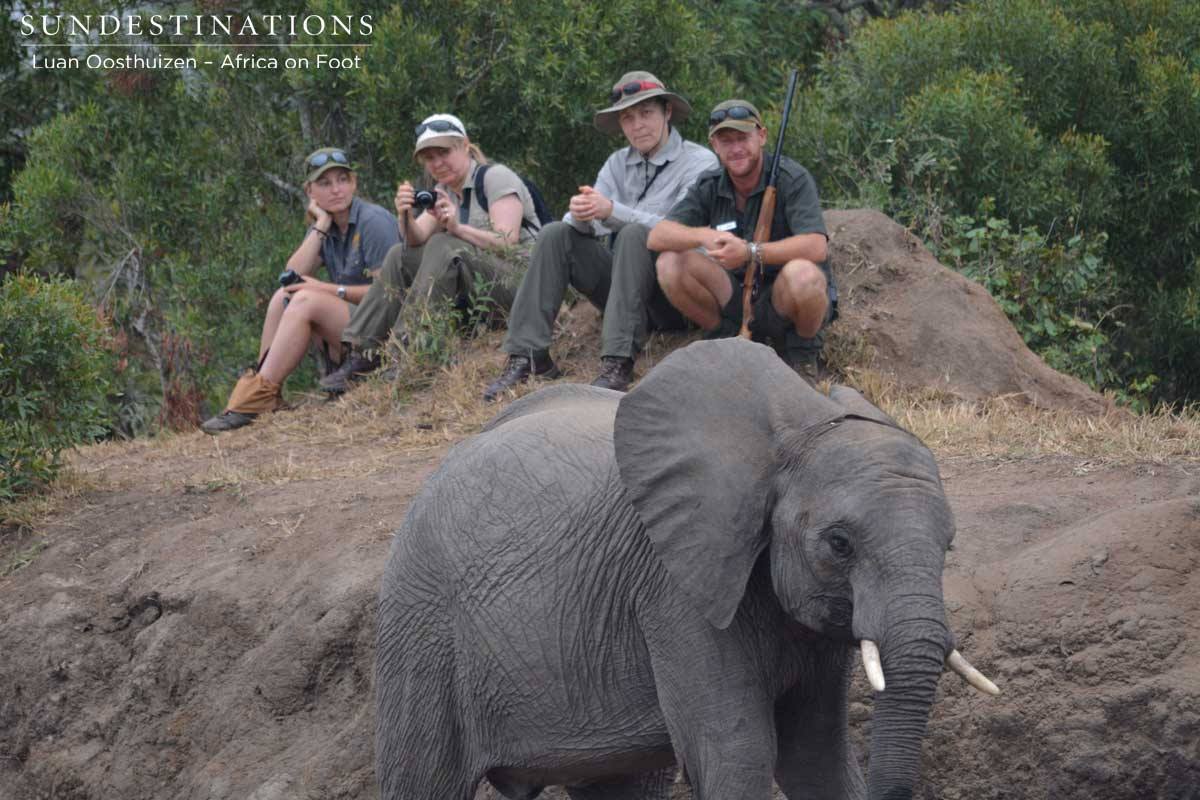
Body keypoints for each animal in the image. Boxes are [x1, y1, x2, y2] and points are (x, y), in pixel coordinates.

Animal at [375, 337, 998, 800]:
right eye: (840, 544)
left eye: (948, 546)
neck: (800, 427)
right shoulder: (674, 586)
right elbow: (739, 753)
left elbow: (815, 757)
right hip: (422, 623)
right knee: (423, 780)